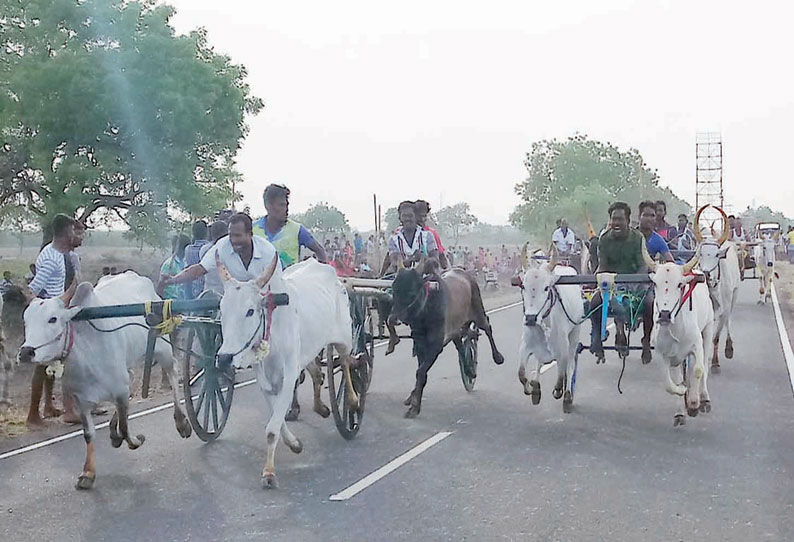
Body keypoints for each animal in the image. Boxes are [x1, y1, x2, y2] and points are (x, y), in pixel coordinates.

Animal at [18, 274, 192, 490]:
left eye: (53, 319)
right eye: (26, 320)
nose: (26, 352)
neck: (86, 352)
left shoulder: (120, 391)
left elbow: (125, 428)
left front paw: (135, 440)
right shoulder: (82, 400)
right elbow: (88, 434)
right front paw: (88, 472)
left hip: (162, 345)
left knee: (172, 371)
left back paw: (181, 422)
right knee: (135, 378)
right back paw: (113, 432)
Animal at [215, 258, 354, 490]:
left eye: (250, 311)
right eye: (222, 310)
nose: (224, 357)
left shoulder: (288, 377)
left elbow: (272, 429)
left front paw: (269, 472)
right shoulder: (266, 384)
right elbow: (277, 423)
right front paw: (294, 444)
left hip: (345, 339)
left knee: (346, 363)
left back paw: (352, 400)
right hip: (307, 350)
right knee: (317, 373)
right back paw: (320, 407)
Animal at [388, 270, 502, 418]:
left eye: (411, 293)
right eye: (394, 290)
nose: (392, 319)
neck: (425, 311)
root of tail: (465, 273)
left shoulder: (436, 346)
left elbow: (421, 372)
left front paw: (414, 407)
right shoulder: (419, 345)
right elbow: (421, 372)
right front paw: (413, 399)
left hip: (478, 313)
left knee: (487, 328)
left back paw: (497, 357)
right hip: (455, 331)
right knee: (461, 346)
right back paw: (470, 371)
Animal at [512, 248, 580, 416]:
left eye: (546, 288)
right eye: (523, 286)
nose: (530, 318)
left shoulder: (562, 350)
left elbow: (562, 374)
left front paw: (558, 391)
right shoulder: (525, 346)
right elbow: (521, 374)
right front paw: (530, 389)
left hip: (575, 335)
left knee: (571, 366)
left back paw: (568, 397)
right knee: (539, 363)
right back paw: (536, 387)